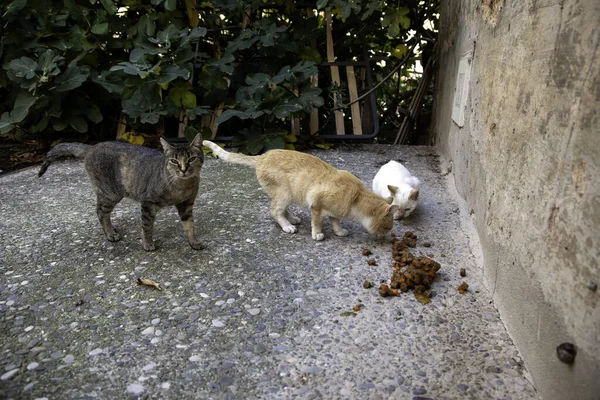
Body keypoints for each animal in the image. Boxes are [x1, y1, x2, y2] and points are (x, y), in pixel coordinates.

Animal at [38, 134, 206, 250]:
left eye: (191, 159)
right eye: (174, 161)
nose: (183, 169)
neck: (181, 186)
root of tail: (92, 147)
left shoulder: (186, 205)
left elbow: (190, 225)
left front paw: (193, 242)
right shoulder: (148, 203)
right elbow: (147, 226)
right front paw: (147, 244)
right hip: (110, 194)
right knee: (100, 212)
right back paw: (110, 234)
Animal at [203, 141, 398, 241]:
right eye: (388, 227)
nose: (385, 236)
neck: (355, 198)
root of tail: (262, 156)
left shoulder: (334, 211)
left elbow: (335, 221)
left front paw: (339, 231)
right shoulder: (316, 204)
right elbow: (317, 222)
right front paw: (317, 234)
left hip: (288, 195)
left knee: (283, 210)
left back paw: (293, 219)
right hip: (283, 194)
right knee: (275, 211)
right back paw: (287, 226)